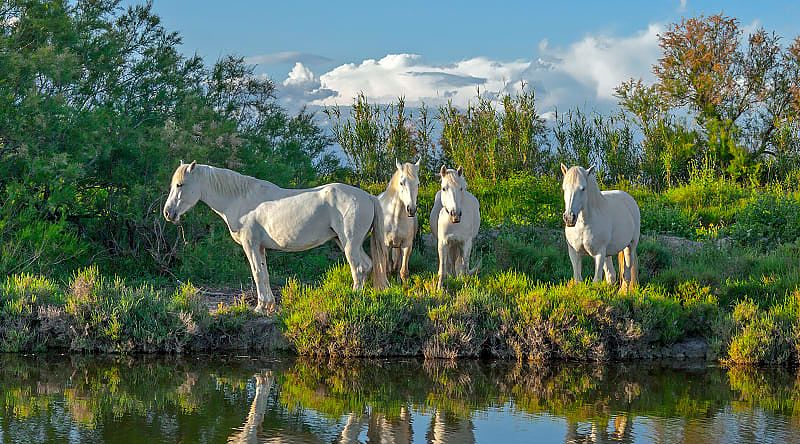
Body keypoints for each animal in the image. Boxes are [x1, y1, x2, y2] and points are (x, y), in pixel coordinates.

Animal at [162, 160, 388, 312]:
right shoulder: (260, 248)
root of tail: (368, 197)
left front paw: (260, 307)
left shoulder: (251, 245)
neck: (241, 200)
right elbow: (264, 273)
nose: (168, 213)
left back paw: (353, 298)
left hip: (350, 244)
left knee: (359, 268)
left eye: (180, 185)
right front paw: (268, 305)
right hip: (345, 243)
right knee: (368, 265)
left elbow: (257, 273)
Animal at [560, 163, 640, 292]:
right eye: (564, 188)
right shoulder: (574, 253)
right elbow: (578, 280)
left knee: (627, 274)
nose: (569, 218)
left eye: (583, 188)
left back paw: (623, 293)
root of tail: (629, 199)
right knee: (611, 276)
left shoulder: (599, 254)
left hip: (630, 247)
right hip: (608, 254)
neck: (583, 224)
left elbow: (596, 281)